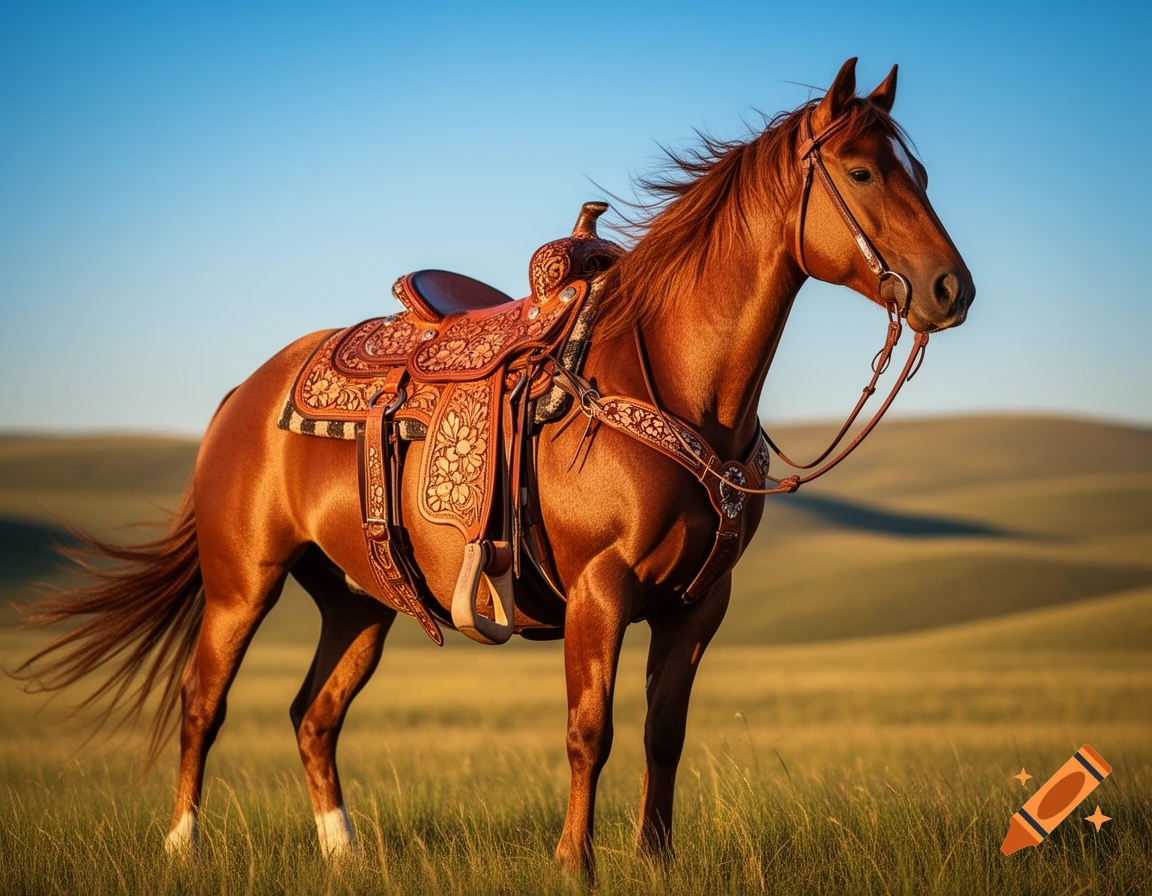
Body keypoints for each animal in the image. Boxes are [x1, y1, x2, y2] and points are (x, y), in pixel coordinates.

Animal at [16, 58, 973, 877]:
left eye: (922, 174)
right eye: (861, 173)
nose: (950, 290)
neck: (669, 380)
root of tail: (242, 394)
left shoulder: (699, 604)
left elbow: (664, 736)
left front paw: (654, 864)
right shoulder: (601, 588)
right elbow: (592, 731)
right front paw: (574, 864)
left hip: (358, 601)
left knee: (313, 716)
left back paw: (344, 854)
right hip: (242, 582)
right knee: (203, 702)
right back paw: (183, 848)